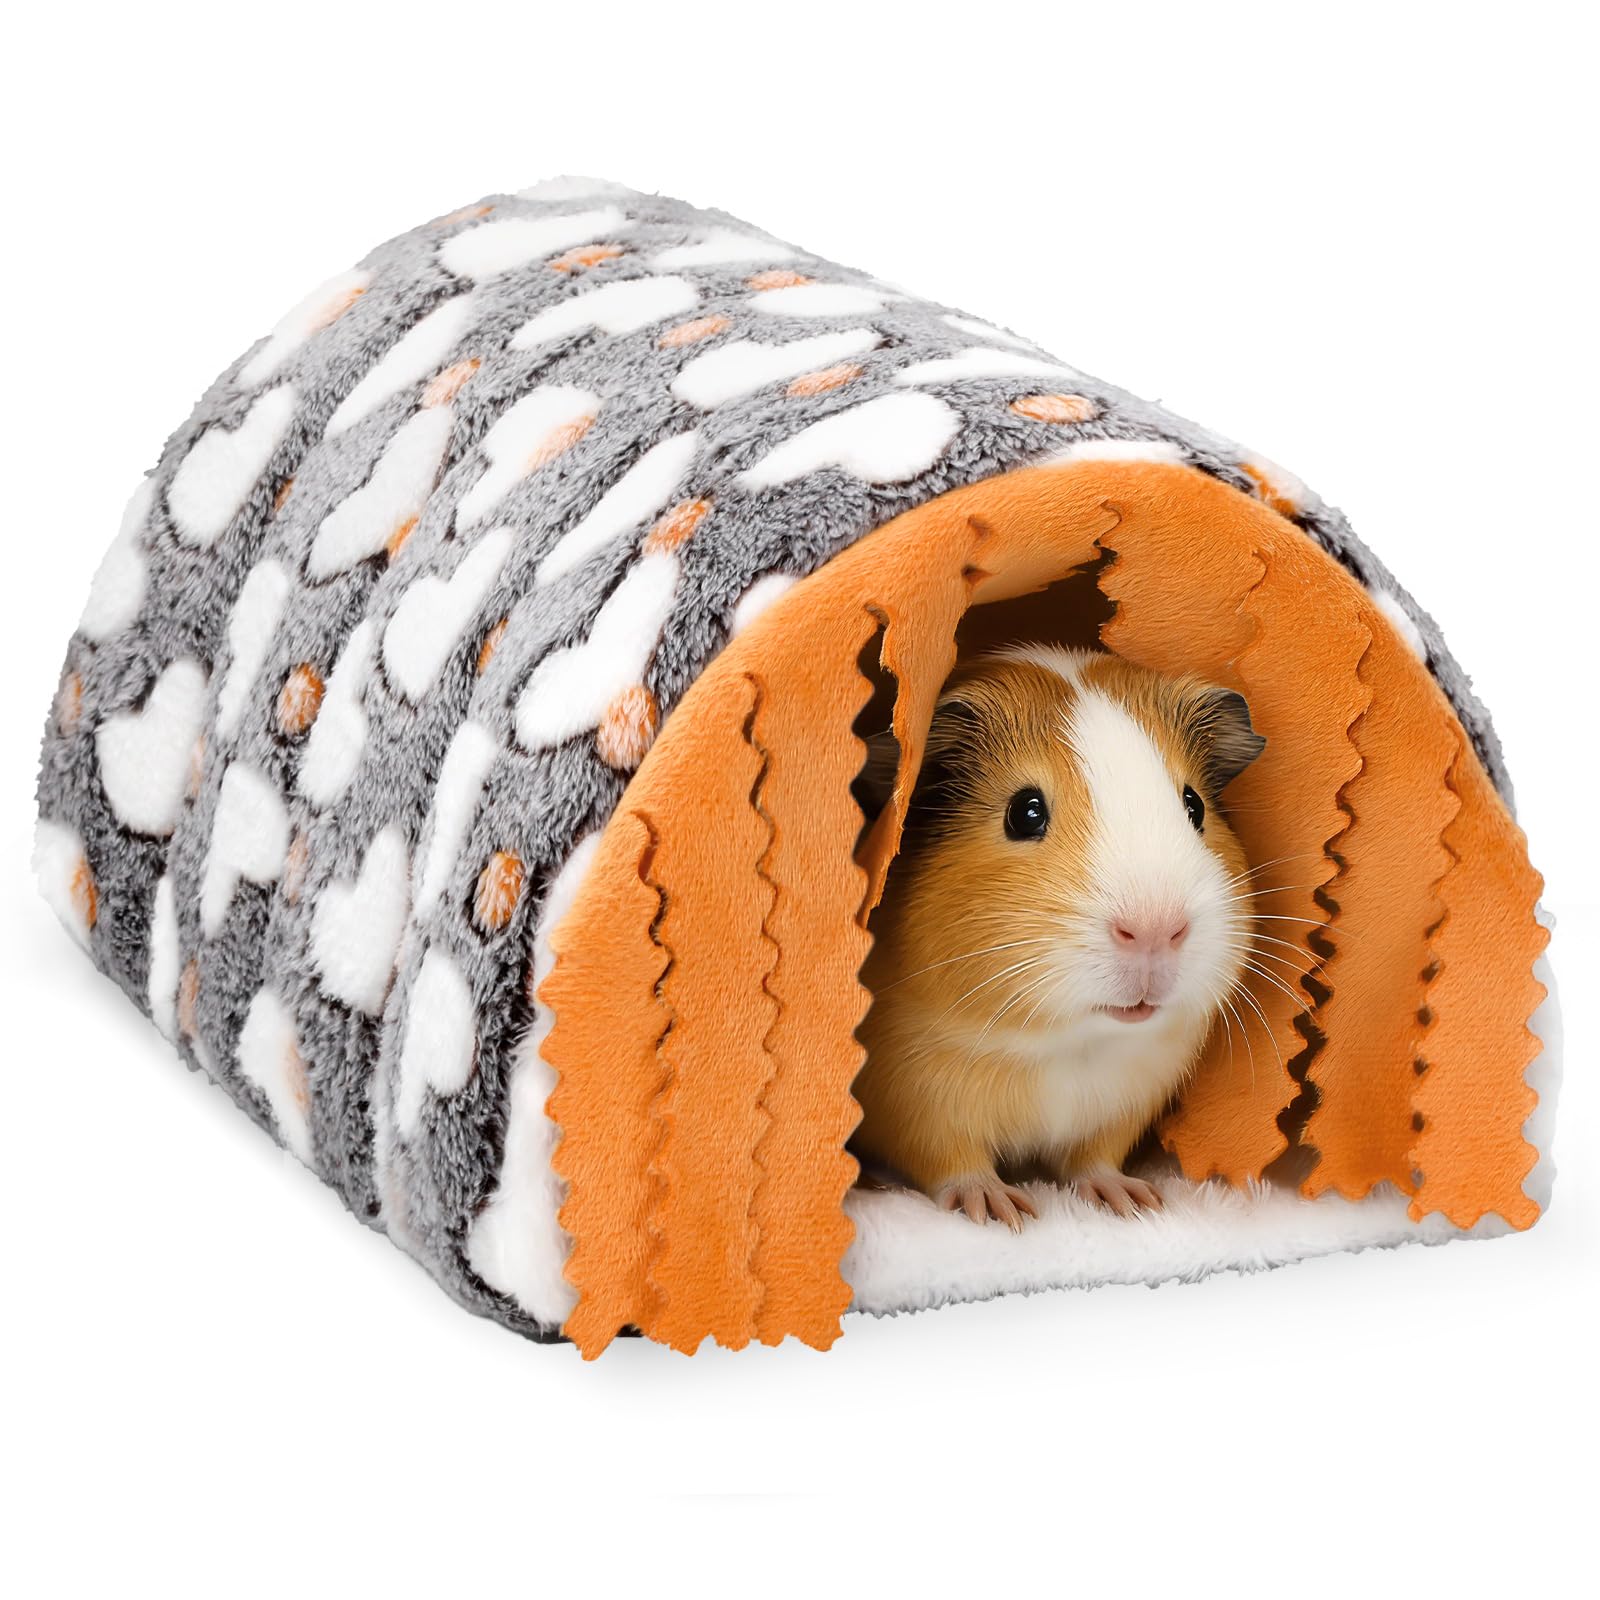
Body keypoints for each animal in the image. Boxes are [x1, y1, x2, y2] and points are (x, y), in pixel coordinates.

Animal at [853, 644, 1266, 1228]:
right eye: (1025, 812)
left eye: (1194, 805)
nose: (1156, 929)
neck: (1071, 1044)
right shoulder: (916, 1102)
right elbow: (955, 1163)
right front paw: (1002, 1211)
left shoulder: (1123, 1107)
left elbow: (1093, 1160)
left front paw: (1132, 1203)